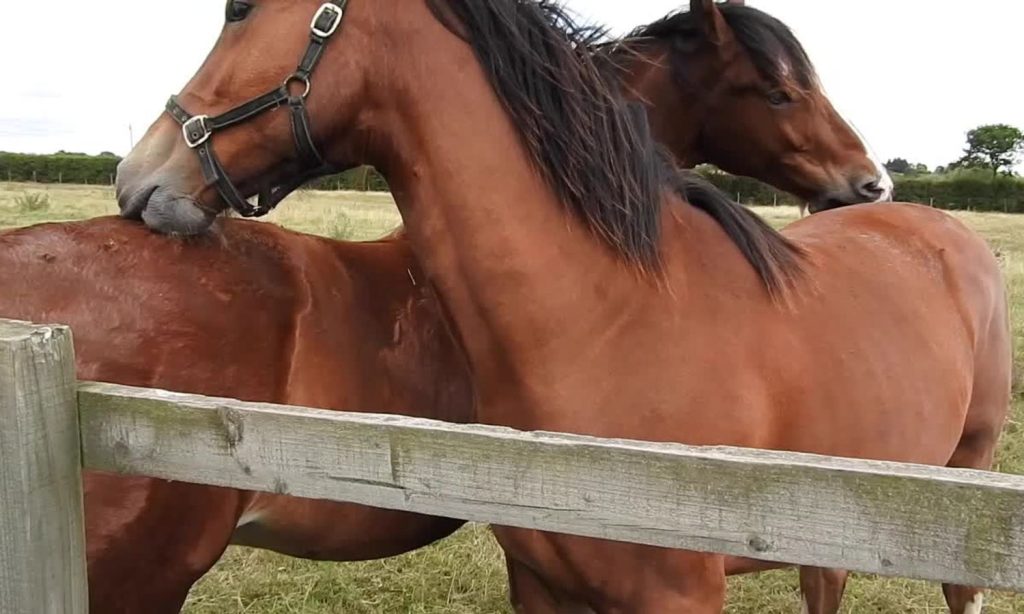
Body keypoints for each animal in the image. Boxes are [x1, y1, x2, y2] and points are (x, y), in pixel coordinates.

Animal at [116, 0, 1011, 613]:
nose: (139, 177)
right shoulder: (543, 583)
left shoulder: (678, 594)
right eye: (781, 92)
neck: (612, 315)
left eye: (237, 10)